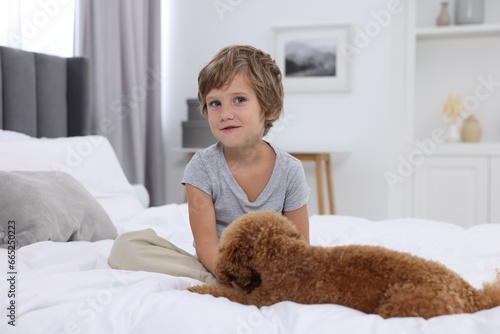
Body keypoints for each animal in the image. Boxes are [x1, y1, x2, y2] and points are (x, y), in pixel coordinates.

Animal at [188, 211, 500, 318]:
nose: (222, 270)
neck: (284, 256)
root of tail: (472, 294)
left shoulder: (262, 301)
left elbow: (225, 294)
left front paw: (194, 290)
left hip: (402, 303)